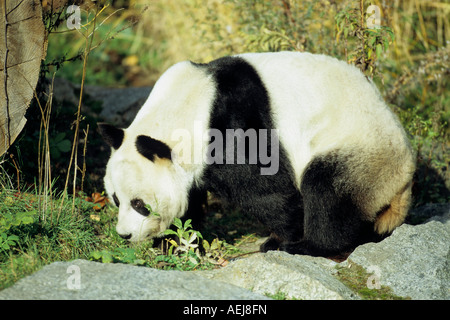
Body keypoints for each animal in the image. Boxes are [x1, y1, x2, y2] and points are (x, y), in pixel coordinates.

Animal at [98, 52, 414, 258]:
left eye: (139, 204)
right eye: (116, 199)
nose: (124, 234)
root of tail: (403, 186)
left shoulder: (230, 124)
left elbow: (265, 188)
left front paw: (283, 236)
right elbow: (189, 201)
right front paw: (174, 243)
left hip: (360, 150)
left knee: (328, 191)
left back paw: (308, 247)